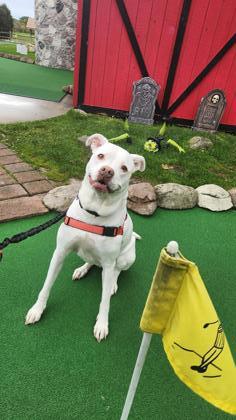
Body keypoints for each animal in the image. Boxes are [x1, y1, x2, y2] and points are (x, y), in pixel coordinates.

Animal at [24, 134, 145, 342]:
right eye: (101, 156)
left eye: (124, 168)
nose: (107, 171)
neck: (94, 212)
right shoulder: (60, 252)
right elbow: (46, 285)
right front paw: (37, 310)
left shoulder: (109, 261)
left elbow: (104, 301)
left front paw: (102, 324)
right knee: (91, 261)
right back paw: (82, 269)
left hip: (126, 258)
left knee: (116, 271)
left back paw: (112, 283)